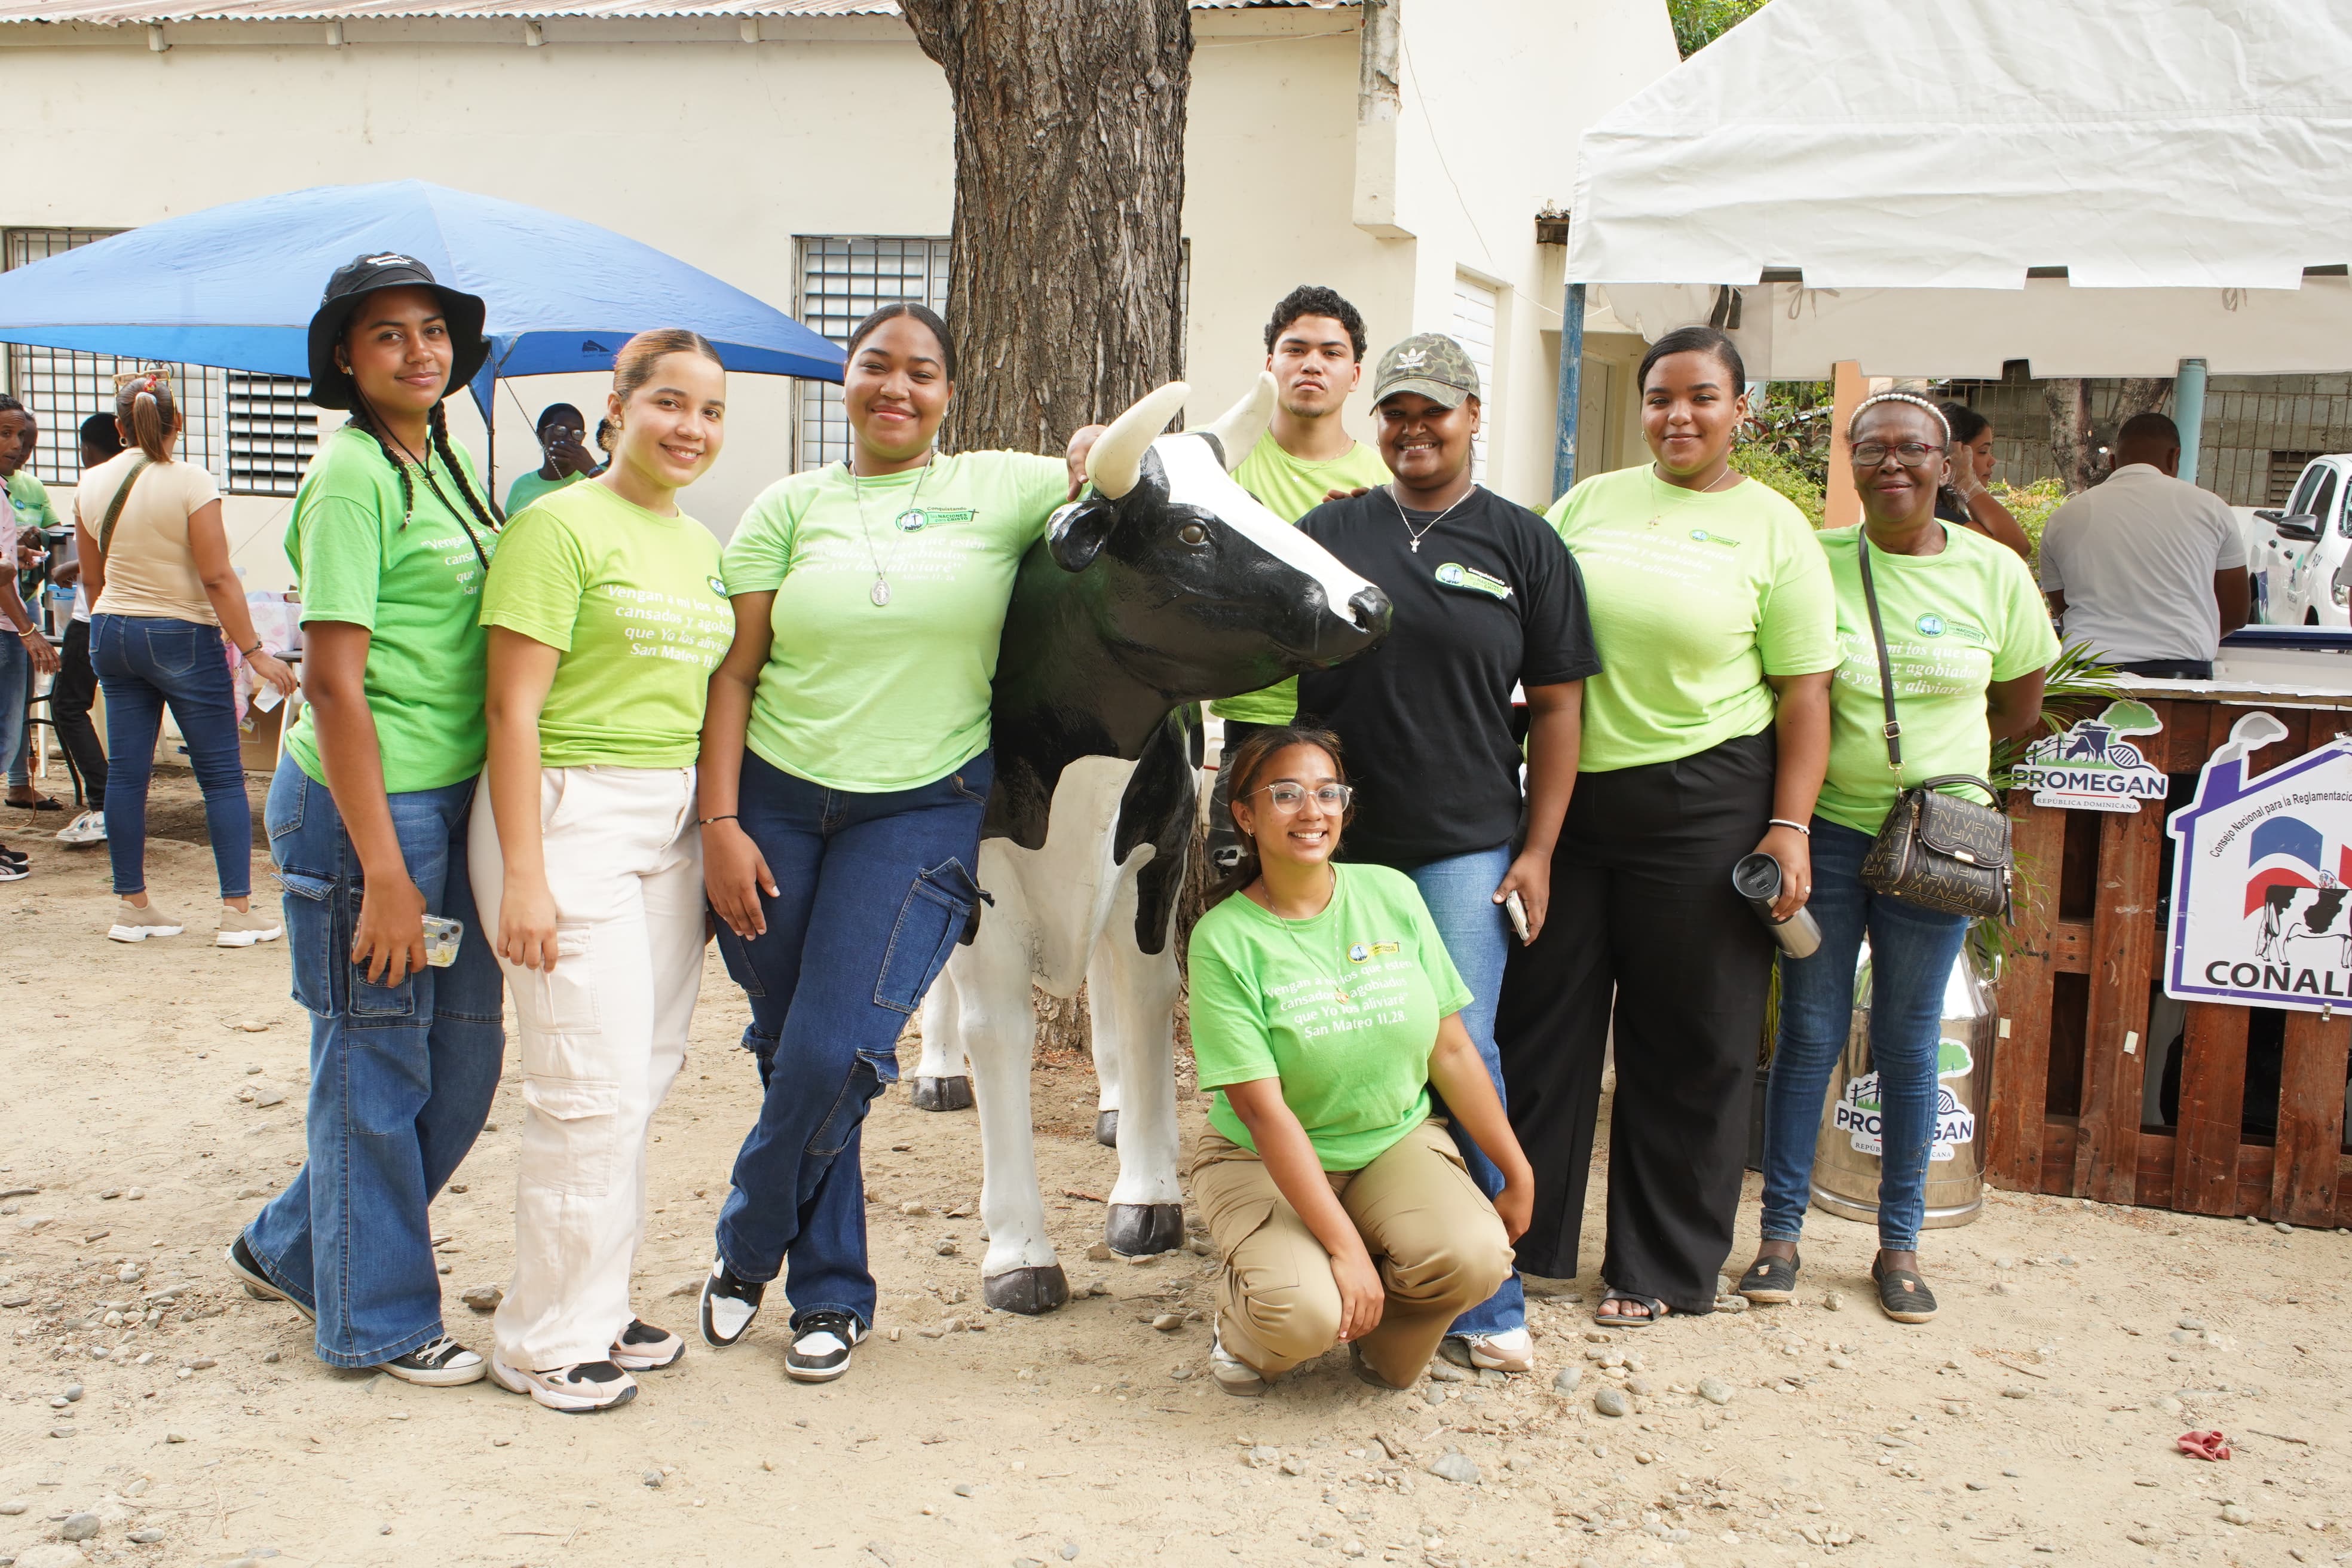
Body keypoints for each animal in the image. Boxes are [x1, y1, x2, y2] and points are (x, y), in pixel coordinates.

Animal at [909, 374, 1392, 1315]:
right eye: (1192, 532)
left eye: (1247, 501)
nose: (1368, 603)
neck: (1080, 761)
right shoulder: (983, 869)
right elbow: (999, 1026)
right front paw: (1018, 1250)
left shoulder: (1155, 852)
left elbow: (1145, 995)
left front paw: (1149, 1191)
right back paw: (939, 1072)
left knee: (1103, 980)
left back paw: (1113, 1106)